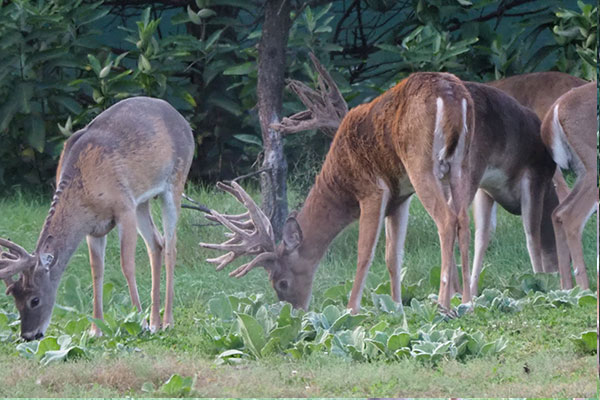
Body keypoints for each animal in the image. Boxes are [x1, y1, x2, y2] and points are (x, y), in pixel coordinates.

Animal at [0, 97, 193, 340]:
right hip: (142, 201)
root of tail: (182, 119)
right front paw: (96, 329)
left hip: (176, 180)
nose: (28, 335)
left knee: (170, 246)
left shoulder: (124, 207)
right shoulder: (93, 227)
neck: (85, 187)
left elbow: (126, 265)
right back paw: (156, 322)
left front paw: (139, 322)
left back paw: (166, 321)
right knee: (156, 244)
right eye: (14, 299)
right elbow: (96, 271)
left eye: (35, 299)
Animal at [204, 70, 476, 310]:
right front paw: (396, 306)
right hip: (460, 164)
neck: (340, 182)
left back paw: (443, 303)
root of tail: (450, 95)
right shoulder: (400, 198)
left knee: (446, 220)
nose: (295, 311)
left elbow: (364, 253)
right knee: (463, 220)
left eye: (281, 282)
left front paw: (351, 308)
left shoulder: (371, 189)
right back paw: (466, 301)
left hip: (420, 162)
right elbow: (393, 256)